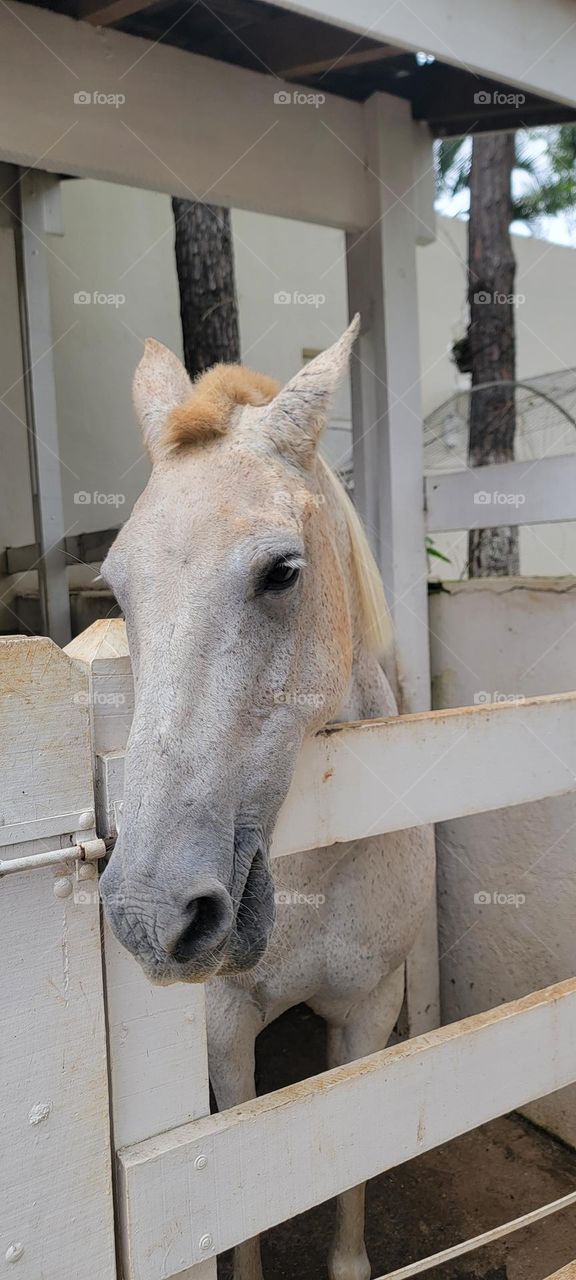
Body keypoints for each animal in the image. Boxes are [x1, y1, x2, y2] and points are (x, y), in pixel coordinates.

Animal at [99, 316, 435, 1280]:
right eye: (117, 586)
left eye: (282, 572)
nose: (151, 913)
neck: (323, 865)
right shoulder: (224, 1039)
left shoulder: (369, 1011)